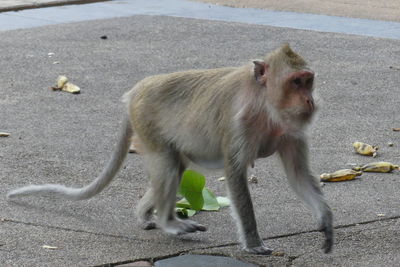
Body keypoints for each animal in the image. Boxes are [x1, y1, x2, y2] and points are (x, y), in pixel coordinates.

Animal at [7, 44, 332, 255]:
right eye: (296, 82)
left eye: (308, 81)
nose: (309, 101)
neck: (266, 105)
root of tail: (133, 92)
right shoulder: (239, 121)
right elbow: (235, 174)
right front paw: (253, 243)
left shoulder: (292, 130)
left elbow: (298, 175)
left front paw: (326, 222)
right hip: (146, 122)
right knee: (166, 164)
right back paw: (168, 222)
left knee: (175, 166)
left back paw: (144, 214)